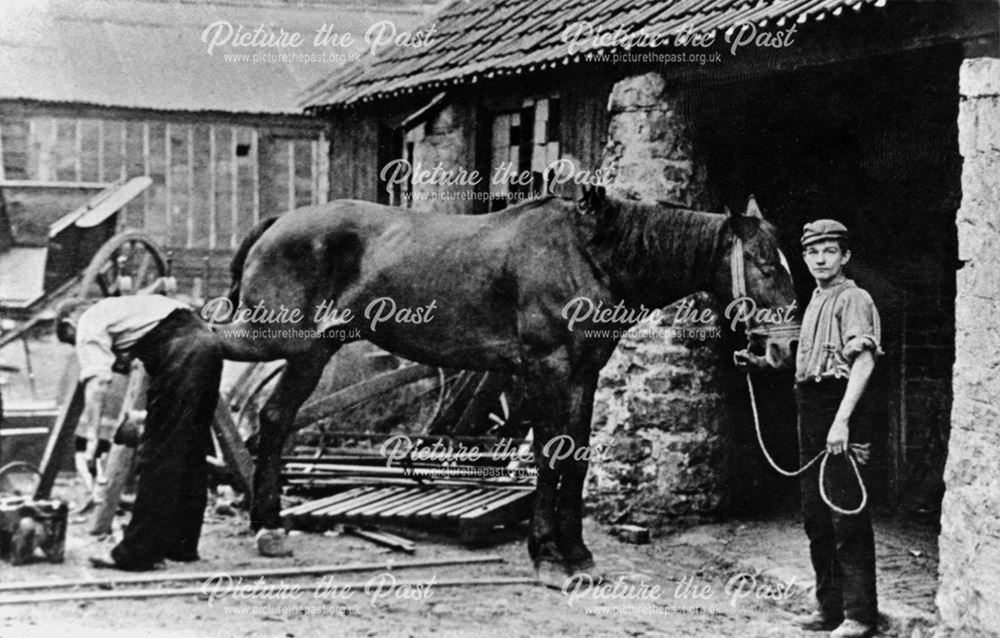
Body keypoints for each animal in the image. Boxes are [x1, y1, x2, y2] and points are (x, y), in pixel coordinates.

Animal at [217, 188, 796, 584]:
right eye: (766, 265)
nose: (783, 350)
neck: (589, 255)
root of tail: (278, 222)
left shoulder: (584, 374)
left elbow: (576, 457)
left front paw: (578, 553)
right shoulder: (546, 370)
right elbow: (547, 456)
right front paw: (547, 555)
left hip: (309, 351)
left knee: (273, 419)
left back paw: (268, 526)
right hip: (278, 342)